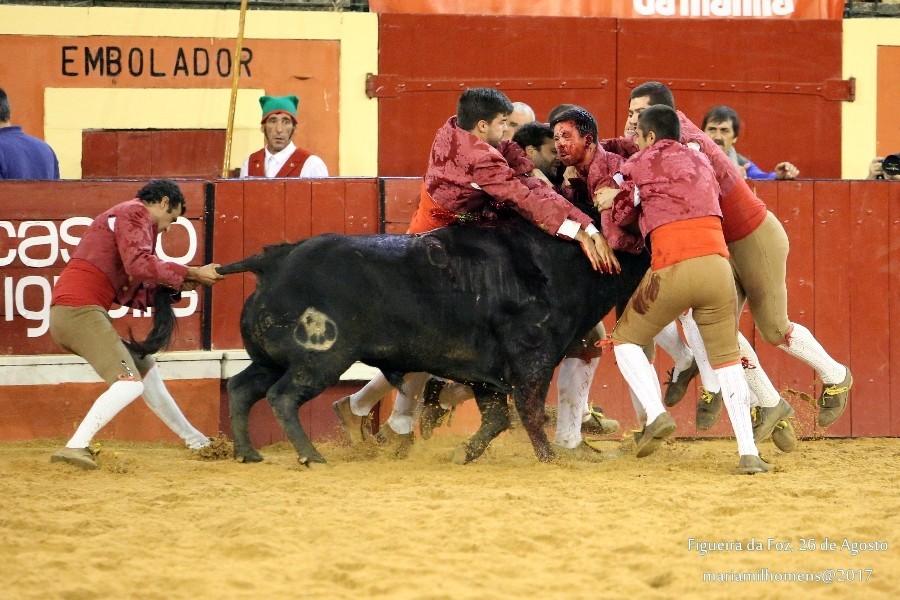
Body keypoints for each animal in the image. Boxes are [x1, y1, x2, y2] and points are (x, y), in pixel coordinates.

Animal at [217, 209, 649, 466]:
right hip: (319, 359)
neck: (559, 260)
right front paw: (548, 457)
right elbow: (527, 409)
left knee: (240, 388)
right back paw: (310, 456)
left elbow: (497, 416)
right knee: (282, 396)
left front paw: (465, 452)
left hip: (271, 359)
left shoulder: (486, 372)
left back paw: (248, 453)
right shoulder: (533, 357)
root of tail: (274, 260)